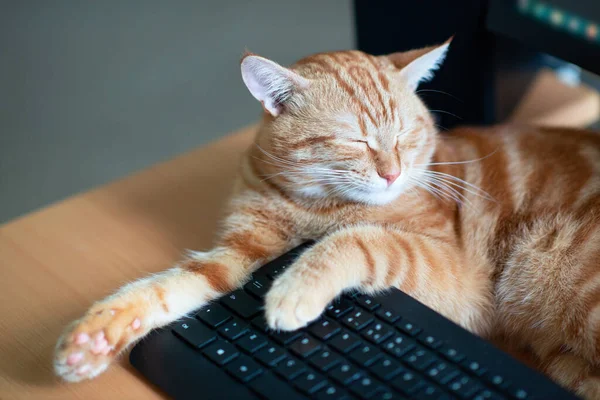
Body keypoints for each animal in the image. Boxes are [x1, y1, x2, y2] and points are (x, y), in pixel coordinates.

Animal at [54, 42, 596, 398]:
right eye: (355, 140)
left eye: (405, 134)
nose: (392, 173)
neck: (311, 203)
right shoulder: (238, 251)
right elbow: (168, 285)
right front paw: (94, 338)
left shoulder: (458, 274)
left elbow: (357, 240)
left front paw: (292, 290)